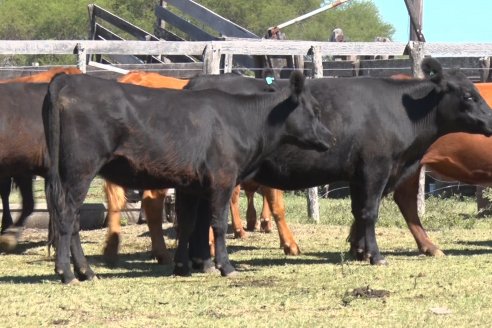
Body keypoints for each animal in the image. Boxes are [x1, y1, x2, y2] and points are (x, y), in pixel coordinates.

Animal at [44, 72, 332, 284]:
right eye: (315, 110)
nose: (331, 139)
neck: (241, 120)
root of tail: (68, 80)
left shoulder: (192, 185)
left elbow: (188, 223)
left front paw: (183, 266)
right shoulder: (223, 180)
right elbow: (217, 224)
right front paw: (225, 266)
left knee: (71, 219)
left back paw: (86, 271)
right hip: (80, 171)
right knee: (67, 217)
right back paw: (68, 272)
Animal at [186, 57, 492, 266]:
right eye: (468, 95)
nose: (491, 120)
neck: (401, 109)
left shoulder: (359, 175)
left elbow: (359, 211)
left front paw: (359, 250)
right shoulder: (376, 169)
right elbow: (369, 212)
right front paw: (375, 255)